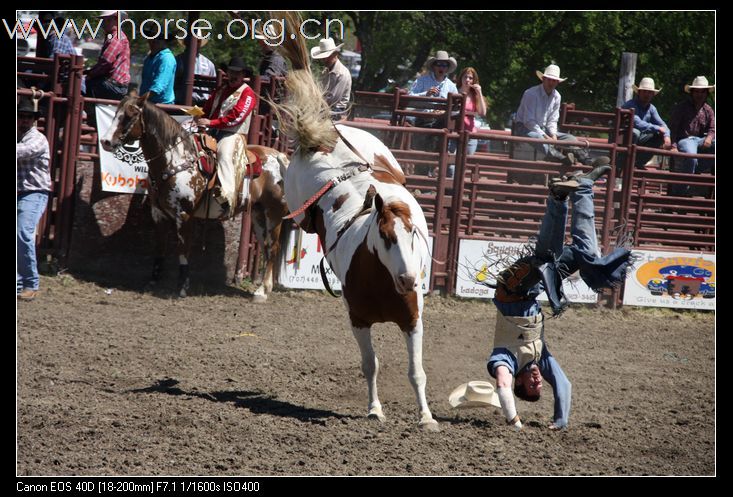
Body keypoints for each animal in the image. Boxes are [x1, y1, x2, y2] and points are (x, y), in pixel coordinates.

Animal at [100, 93, 288, 298]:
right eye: (116, 112)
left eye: (129, 116)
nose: (105, 142)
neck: (175, 161)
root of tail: (280, 157)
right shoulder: (158, 214)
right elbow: (160, 248)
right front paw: (153, 281)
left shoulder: (184, 215)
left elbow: (183, 250)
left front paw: (182, 286)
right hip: (258, 215)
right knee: (267, 248)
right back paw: (265, 287)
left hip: (274, 214)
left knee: (273, 247)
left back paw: (261, 292)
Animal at [274, 12, 434, 430]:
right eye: (385, 237)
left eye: (414, 236)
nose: (408, 279)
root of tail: (324, 139)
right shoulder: (359, 320)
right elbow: (370, 365)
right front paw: (375, 409)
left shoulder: (413, 319)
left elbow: (417, 372)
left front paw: (427, 417)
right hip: (299, 205)